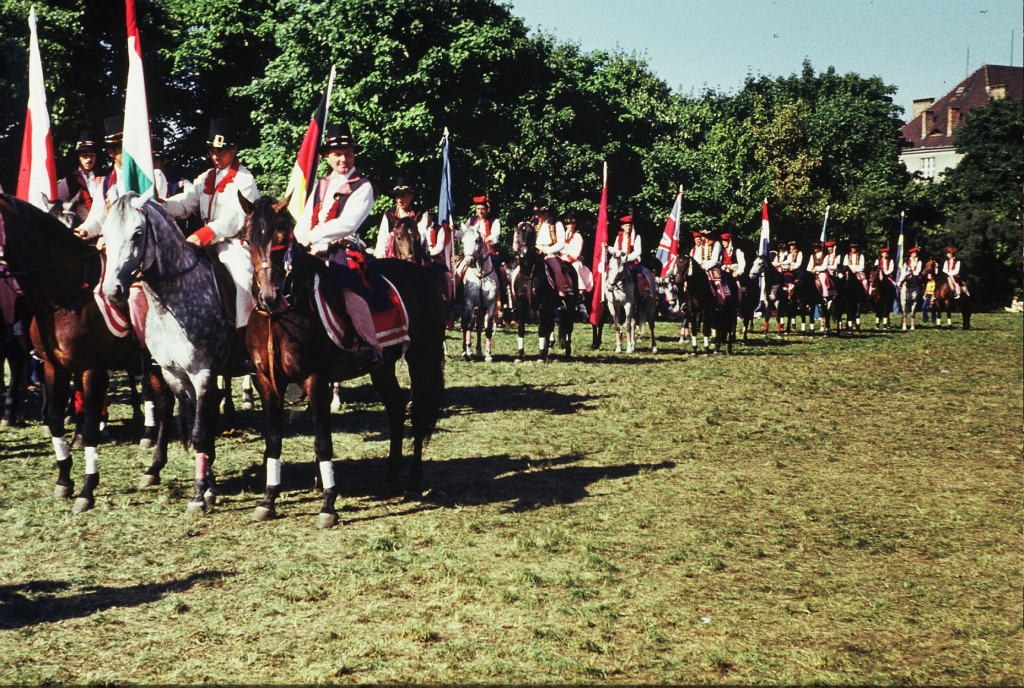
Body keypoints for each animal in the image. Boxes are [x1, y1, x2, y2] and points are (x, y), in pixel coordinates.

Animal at [0, 190, 169, 513]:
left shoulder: (93, 368)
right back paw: (154, 468)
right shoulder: (54, 367)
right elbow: (54, 419)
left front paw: (87, 490)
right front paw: (64, 480)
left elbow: (90, 426)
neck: (64, 294)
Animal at [101, 190, 241, 513]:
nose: (113, 291)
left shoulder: (203, 373)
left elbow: (200, 431)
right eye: (105, 233)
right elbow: (193, 423)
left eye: (137, 233)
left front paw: (199, 494)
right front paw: (208, 486)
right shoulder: (173, 374)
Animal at [239, 194, 448, 528]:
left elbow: (323, 443)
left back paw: (414, 481)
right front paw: (268, 500)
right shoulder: (267, 381)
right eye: (247, 240)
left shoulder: (315, 380)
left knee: (417, 415)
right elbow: (273, 440)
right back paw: (391, 473)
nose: (270, 297)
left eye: (283, 235)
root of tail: (422, 275)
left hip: (422, 357)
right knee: (396, 406)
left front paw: (328, 505)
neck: (282, 316)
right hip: (383, 366)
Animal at [460, 222, 499, 362]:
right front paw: (469, 351)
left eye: (477, 240)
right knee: (466, 325)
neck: (481, 276)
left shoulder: (491, 306)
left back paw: (478, 351)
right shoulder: (469, 304)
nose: (468, 261)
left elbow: (487, 329)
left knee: (478, 326)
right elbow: (468, 326)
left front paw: (488, 354)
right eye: (463, 241)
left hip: (480, 308)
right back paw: (465, 351)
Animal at [509, 222, 581, 362]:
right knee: (551, 326)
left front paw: (541, 356)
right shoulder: (521, 303)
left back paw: (567, 352)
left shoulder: (542, 304)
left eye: (531, 234)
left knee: (568, 327)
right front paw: (520, 355)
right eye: (518, 233)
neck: (529, 274)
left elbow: (541, 329)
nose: (523, 252)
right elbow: (521, 329)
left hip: (569, 305)